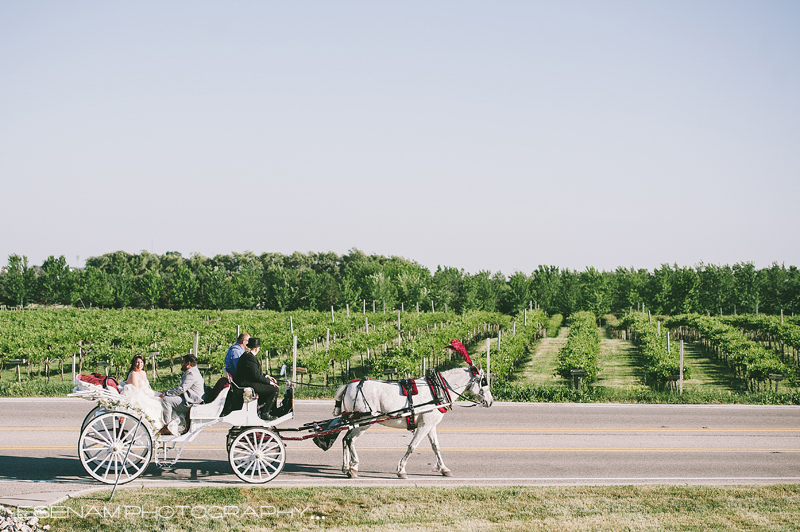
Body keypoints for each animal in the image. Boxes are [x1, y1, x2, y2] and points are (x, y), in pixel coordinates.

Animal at [332, 364, 494, 480]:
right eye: (484, 381)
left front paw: (444, 469)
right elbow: (412, 446)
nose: (490, 401)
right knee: (351, 440)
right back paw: (353, 468)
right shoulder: (424, 425)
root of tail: (348, 386)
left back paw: (346, 467)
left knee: (345, 439)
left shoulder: (430, 425)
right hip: (364, 422)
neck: (437, 390)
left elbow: (436, 447)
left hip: (355, 422)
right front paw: (401, 470)